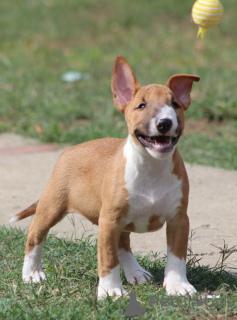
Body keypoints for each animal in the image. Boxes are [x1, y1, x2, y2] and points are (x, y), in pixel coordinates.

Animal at [10, 55, 200, 300]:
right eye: (141, 105)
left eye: (175, 104)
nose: (165, 122)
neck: (151, 166)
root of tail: (69, 150)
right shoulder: (109, 221)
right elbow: (108, 258)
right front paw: (111, 291)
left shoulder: (179, 218)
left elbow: (177, 256)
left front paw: (178, 286)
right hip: (53, 204)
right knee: (35, 232)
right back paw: (32, 274)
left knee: (123, 243)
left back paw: (136, 272)